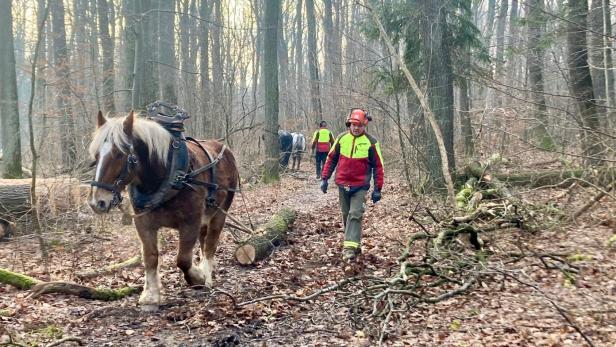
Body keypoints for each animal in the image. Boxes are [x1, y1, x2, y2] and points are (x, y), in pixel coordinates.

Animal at [88, 112, 237, 312]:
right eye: (96, 155)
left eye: (119, 154)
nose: (98, 202)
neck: (168, 175)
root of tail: (223, 148)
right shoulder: (143, 223)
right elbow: (150, 256)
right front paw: (150, 296)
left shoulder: (190, 222)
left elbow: (182, 259)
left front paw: (197, 278)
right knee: (204, 239)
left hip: (221, 211)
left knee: (210, 243)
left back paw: (206, 274)